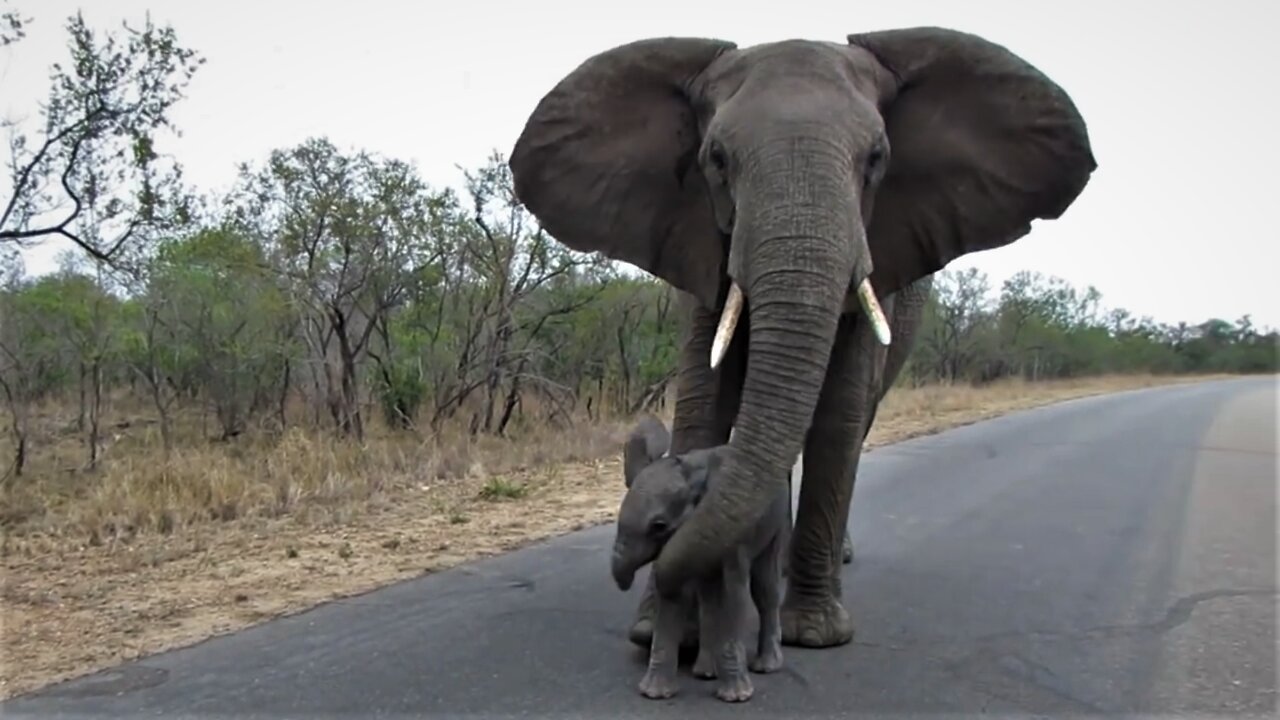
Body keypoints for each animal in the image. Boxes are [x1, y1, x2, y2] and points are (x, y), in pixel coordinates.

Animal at [504, 26, 1095, 645]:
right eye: (716, 159)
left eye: (877, 158)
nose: (648, 558)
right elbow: (704, 404)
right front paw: (657, 630)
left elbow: (838, 417)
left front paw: (812, 634)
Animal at [611, 415, 788, 702]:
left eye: (659, 526)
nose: (624, 581)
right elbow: (677, 593)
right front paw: (654, 695)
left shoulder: (733, 535)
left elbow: (732, 595)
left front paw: (736, 697)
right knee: (708, 600)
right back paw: (705, 673)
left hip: (777, 519)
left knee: (764, 585)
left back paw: (766, 666)